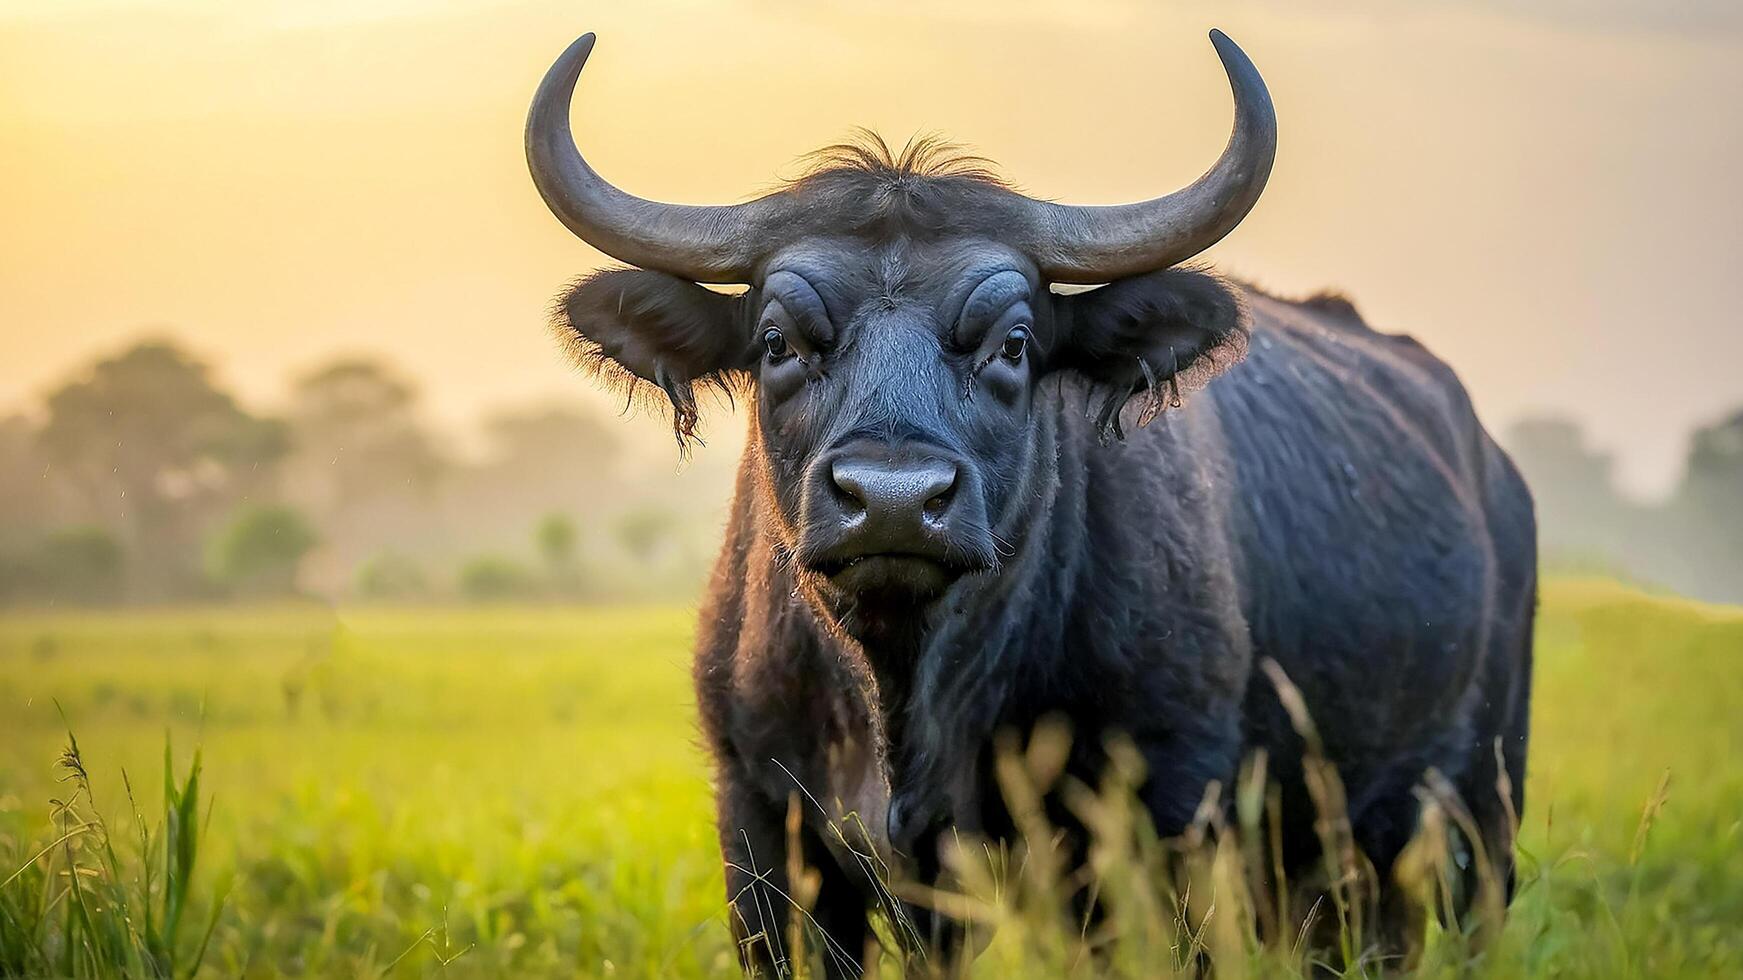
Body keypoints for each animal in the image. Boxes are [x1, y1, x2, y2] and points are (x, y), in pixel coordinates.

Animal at [522, 26, 1533, 969]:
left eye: (1011, 343)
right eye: (777, 342)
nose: (894, 500)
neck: (909, 698)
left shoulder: (1164, 816)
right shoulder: (764, 827)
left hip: (1476, 810)